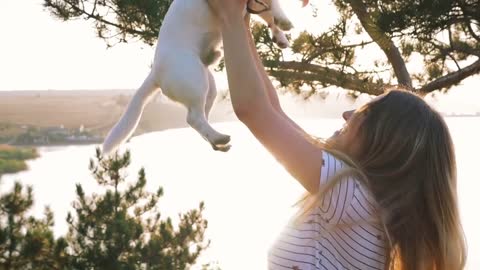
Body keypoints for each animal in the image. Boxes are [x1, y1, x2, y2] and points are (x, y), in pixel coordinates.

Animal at [103, 0, 310, 154]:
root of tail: (156, 73)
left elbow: (267, 14)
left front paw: (280, 36)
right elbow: (273, 6)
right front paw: (283, 21)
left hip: (209, 89)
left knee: (200, 120)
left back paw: (216, 141)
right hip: (195, 81)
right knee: (194, 118)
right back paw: (218, 137)